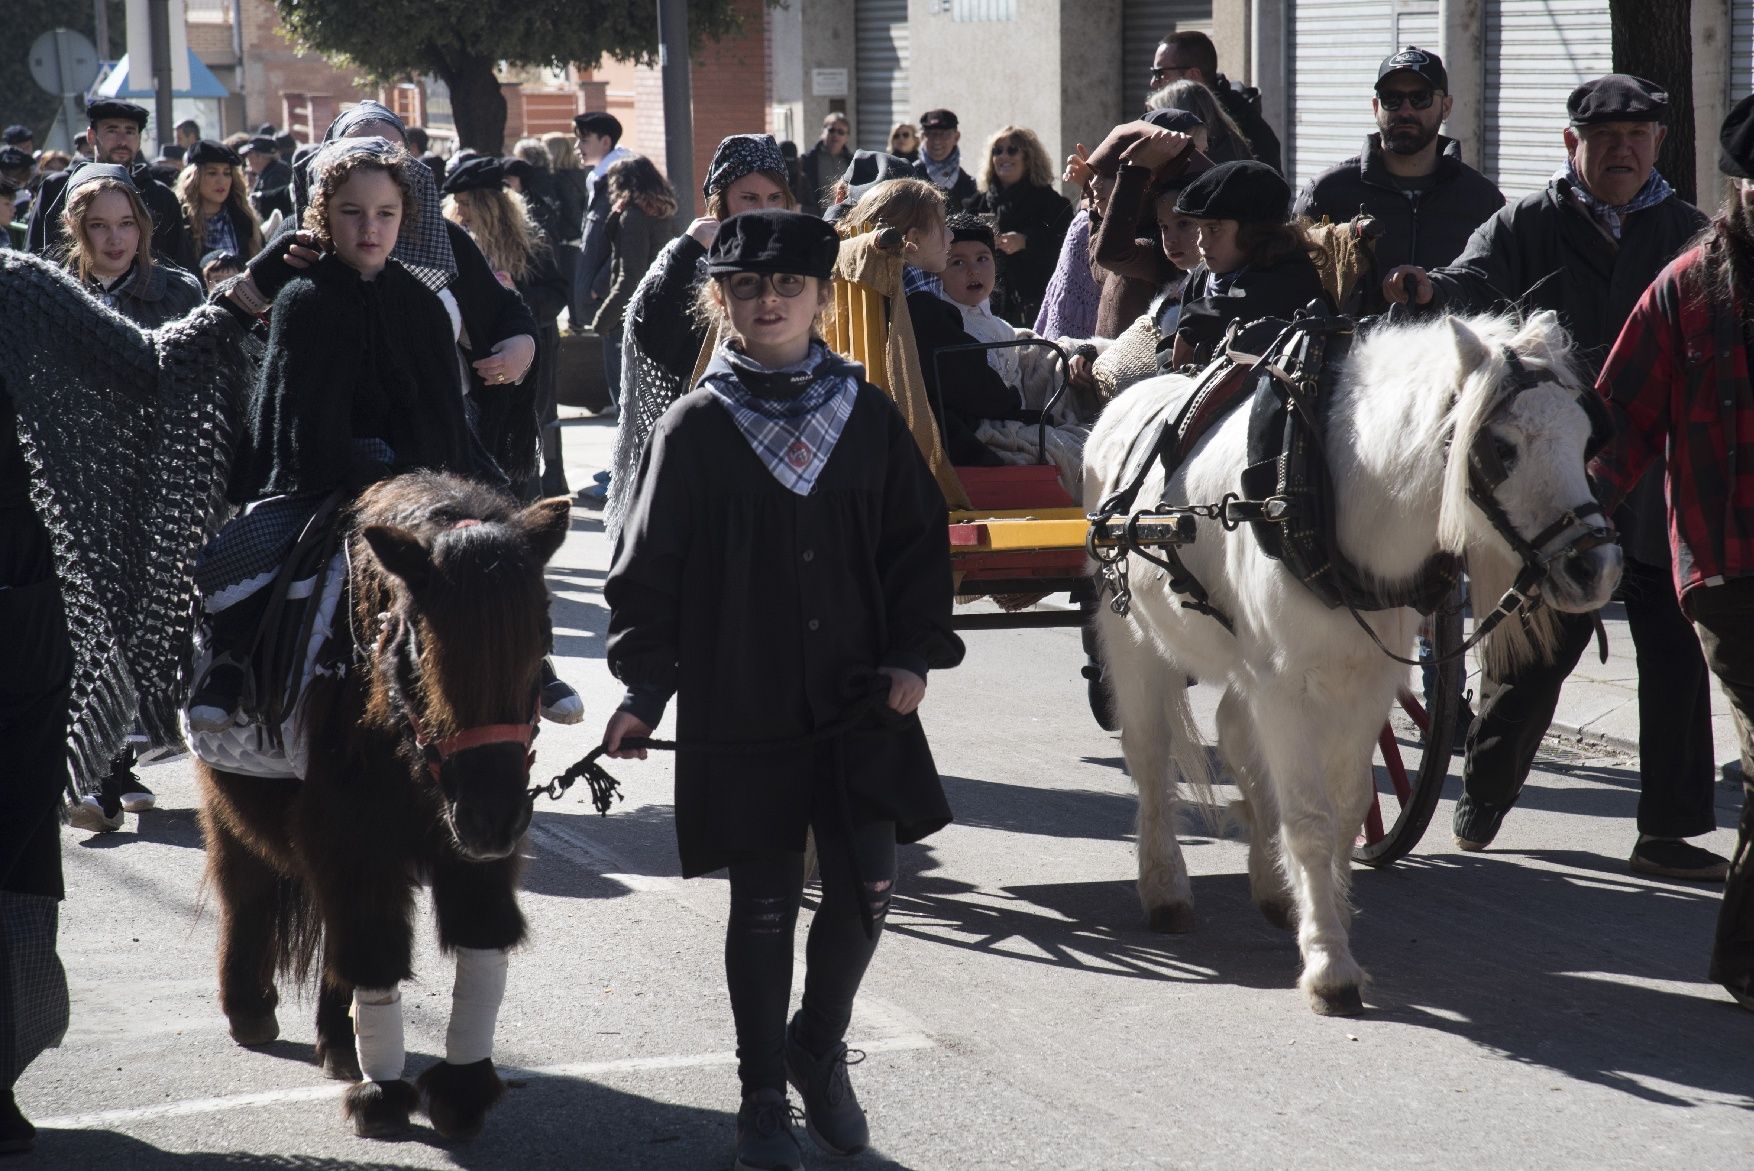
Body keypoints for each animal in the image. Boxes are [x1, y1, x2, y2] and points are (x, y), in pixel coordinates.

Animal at [198, 469, 568, 1135]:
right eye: (421, 640)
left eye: (543, 635)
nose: (491, 820)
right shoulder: (353, 845)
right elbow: (374, 951)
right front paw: (383, 1096)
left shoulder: (478, 853)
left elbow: (480, 940)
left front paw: (462, 1090)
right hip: (228, 810)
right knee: (245, 888)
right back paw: (250, 1010)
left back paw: (338, 1041)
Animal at [1087, 313, 1620, 1016]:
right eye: (1502, 448)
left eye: (1586, 439)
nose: (1596, 568)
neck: (1312, 491)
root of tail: (1126, 400)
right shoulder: (1284, 687)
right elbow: (1310, 819)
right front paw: (1329, 966)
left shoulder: (1364, 686)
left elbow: (1344, 810)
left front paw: (1327, 916)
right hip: (1132, 636)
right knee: (1150, 756)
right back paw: (1165, 886)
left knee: (1235, 734)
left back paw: (1271, 881)